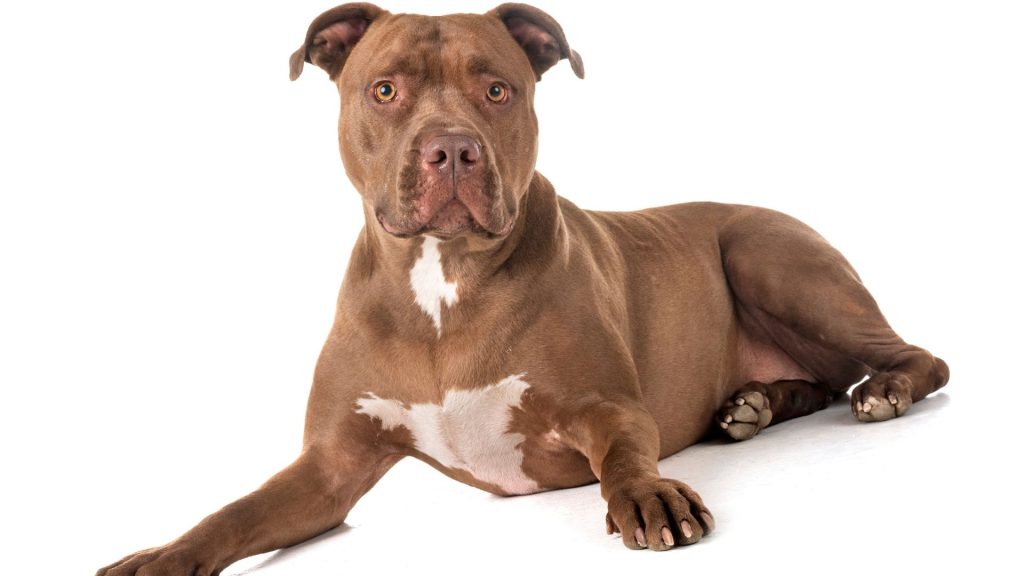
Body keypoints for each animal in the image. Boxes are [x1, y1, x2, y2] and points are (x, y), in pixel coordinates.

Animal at [99, 2, 946, 569]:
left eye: (498, 90)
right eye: (384, 90)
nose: (451, 148)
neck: (442, 282)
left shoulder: (605, 407)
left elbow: (626, 461)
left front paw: (650, 498)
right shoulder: (329, 466)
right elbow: (234, 513)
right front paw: (158, 556)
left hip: (767, 256)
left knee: (911, 360)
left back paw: (882, 391)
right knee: (822, 381)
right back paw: (753, 406)